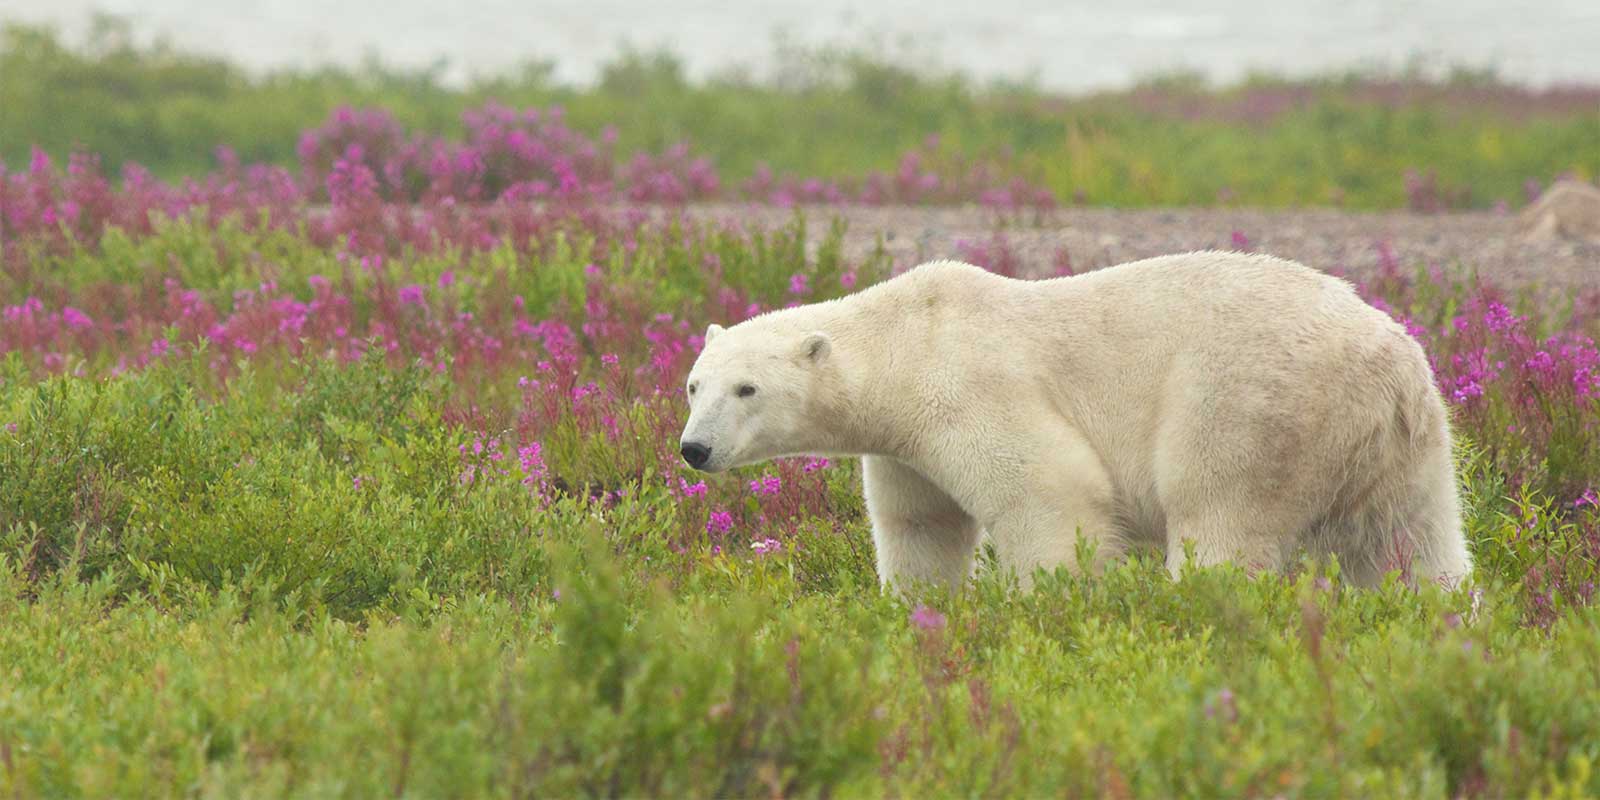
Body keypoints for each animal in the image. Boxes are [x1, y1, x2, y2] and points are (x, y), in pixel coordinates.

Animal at [677, 252, 1472, 594]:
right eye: (692, 384)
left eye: (747, 388)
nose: (694, 448)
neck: (910, 339)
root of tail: (1389, 365)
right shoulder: (903, 447)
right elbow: (921, 529)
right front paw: (919, 611)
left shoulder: (972, 388)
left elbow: (1051, 496)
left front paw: (1055, 607)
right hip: (1403, 446)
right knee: (1415, 543)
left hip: (1250, 404)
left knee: (1220, 518)